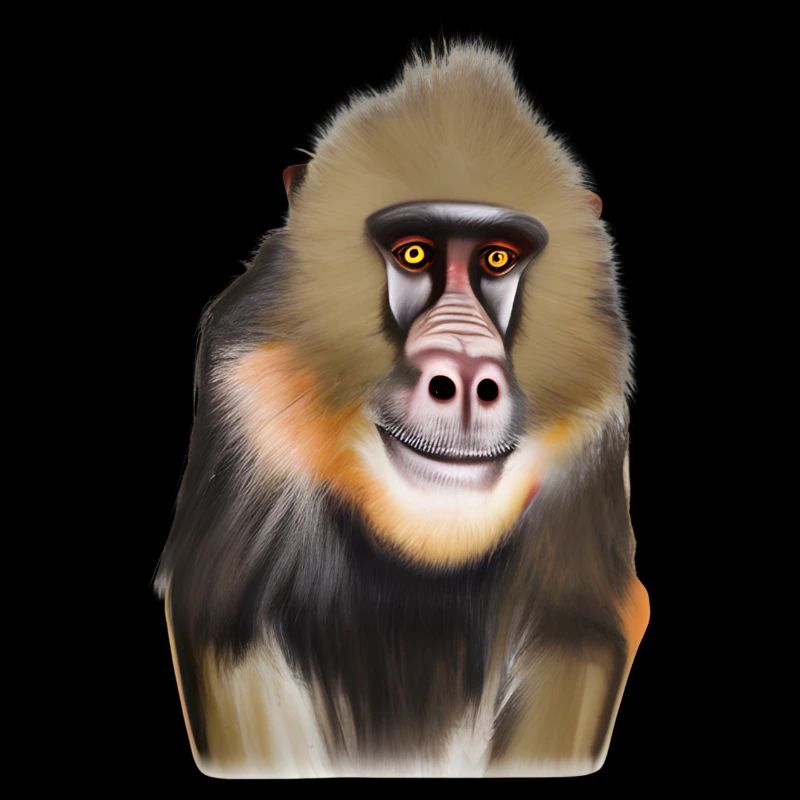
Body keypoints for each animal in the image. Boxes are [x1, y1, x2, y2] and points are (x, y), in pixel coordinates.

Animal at [153, 38, 649, 778]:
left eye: (497, 259)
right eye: (414, 252)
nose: (465, 378)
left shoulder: (591, 442)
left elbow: (576, 635)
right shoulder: (246, 398)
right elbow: (226, 626)